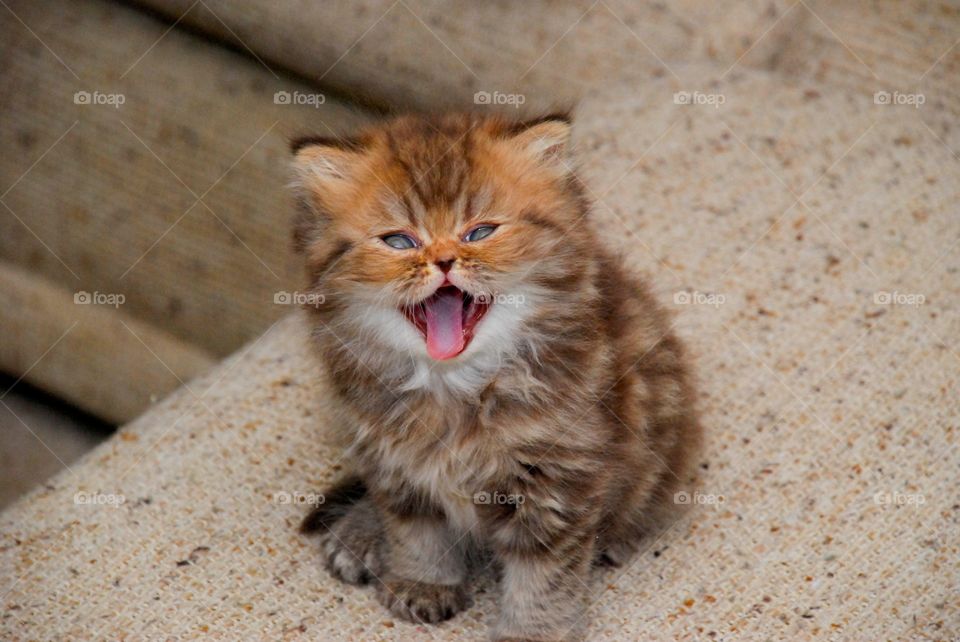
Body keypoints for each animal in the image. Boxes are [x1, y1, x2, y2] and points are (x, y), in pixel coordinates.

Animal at [288, 112, 700, 636]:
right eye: (399, 241)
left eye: (479, 233)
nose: (444, 261)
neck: (453, 389)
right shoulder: (393, 463)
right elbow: (416, 531)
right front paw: (425, 582)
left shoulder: (557, 478)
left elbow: (542, 575)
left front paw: (530, 633)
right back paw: (360, 532)